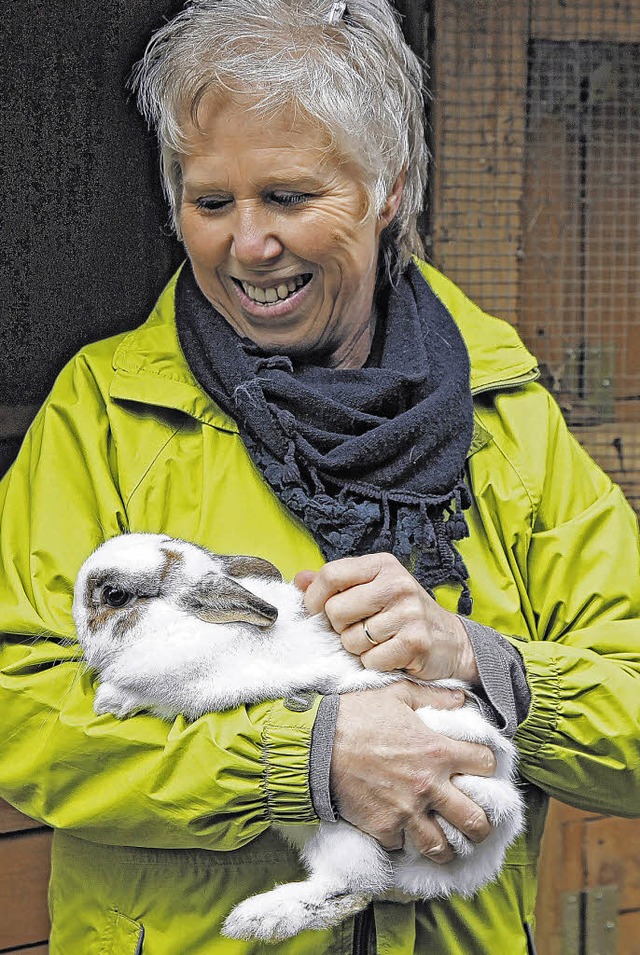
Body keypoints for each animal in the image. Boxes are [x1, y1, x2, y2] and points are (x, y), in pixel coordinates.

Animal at [74, 536, 524, 944]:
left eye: (114, 595)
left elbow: (151, 696)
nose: (74, 611)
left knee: (352, 885)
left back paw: (255, 920)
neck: (182, 623)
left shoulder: (191, 687)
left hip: (342, 827)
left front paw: (109, 699)